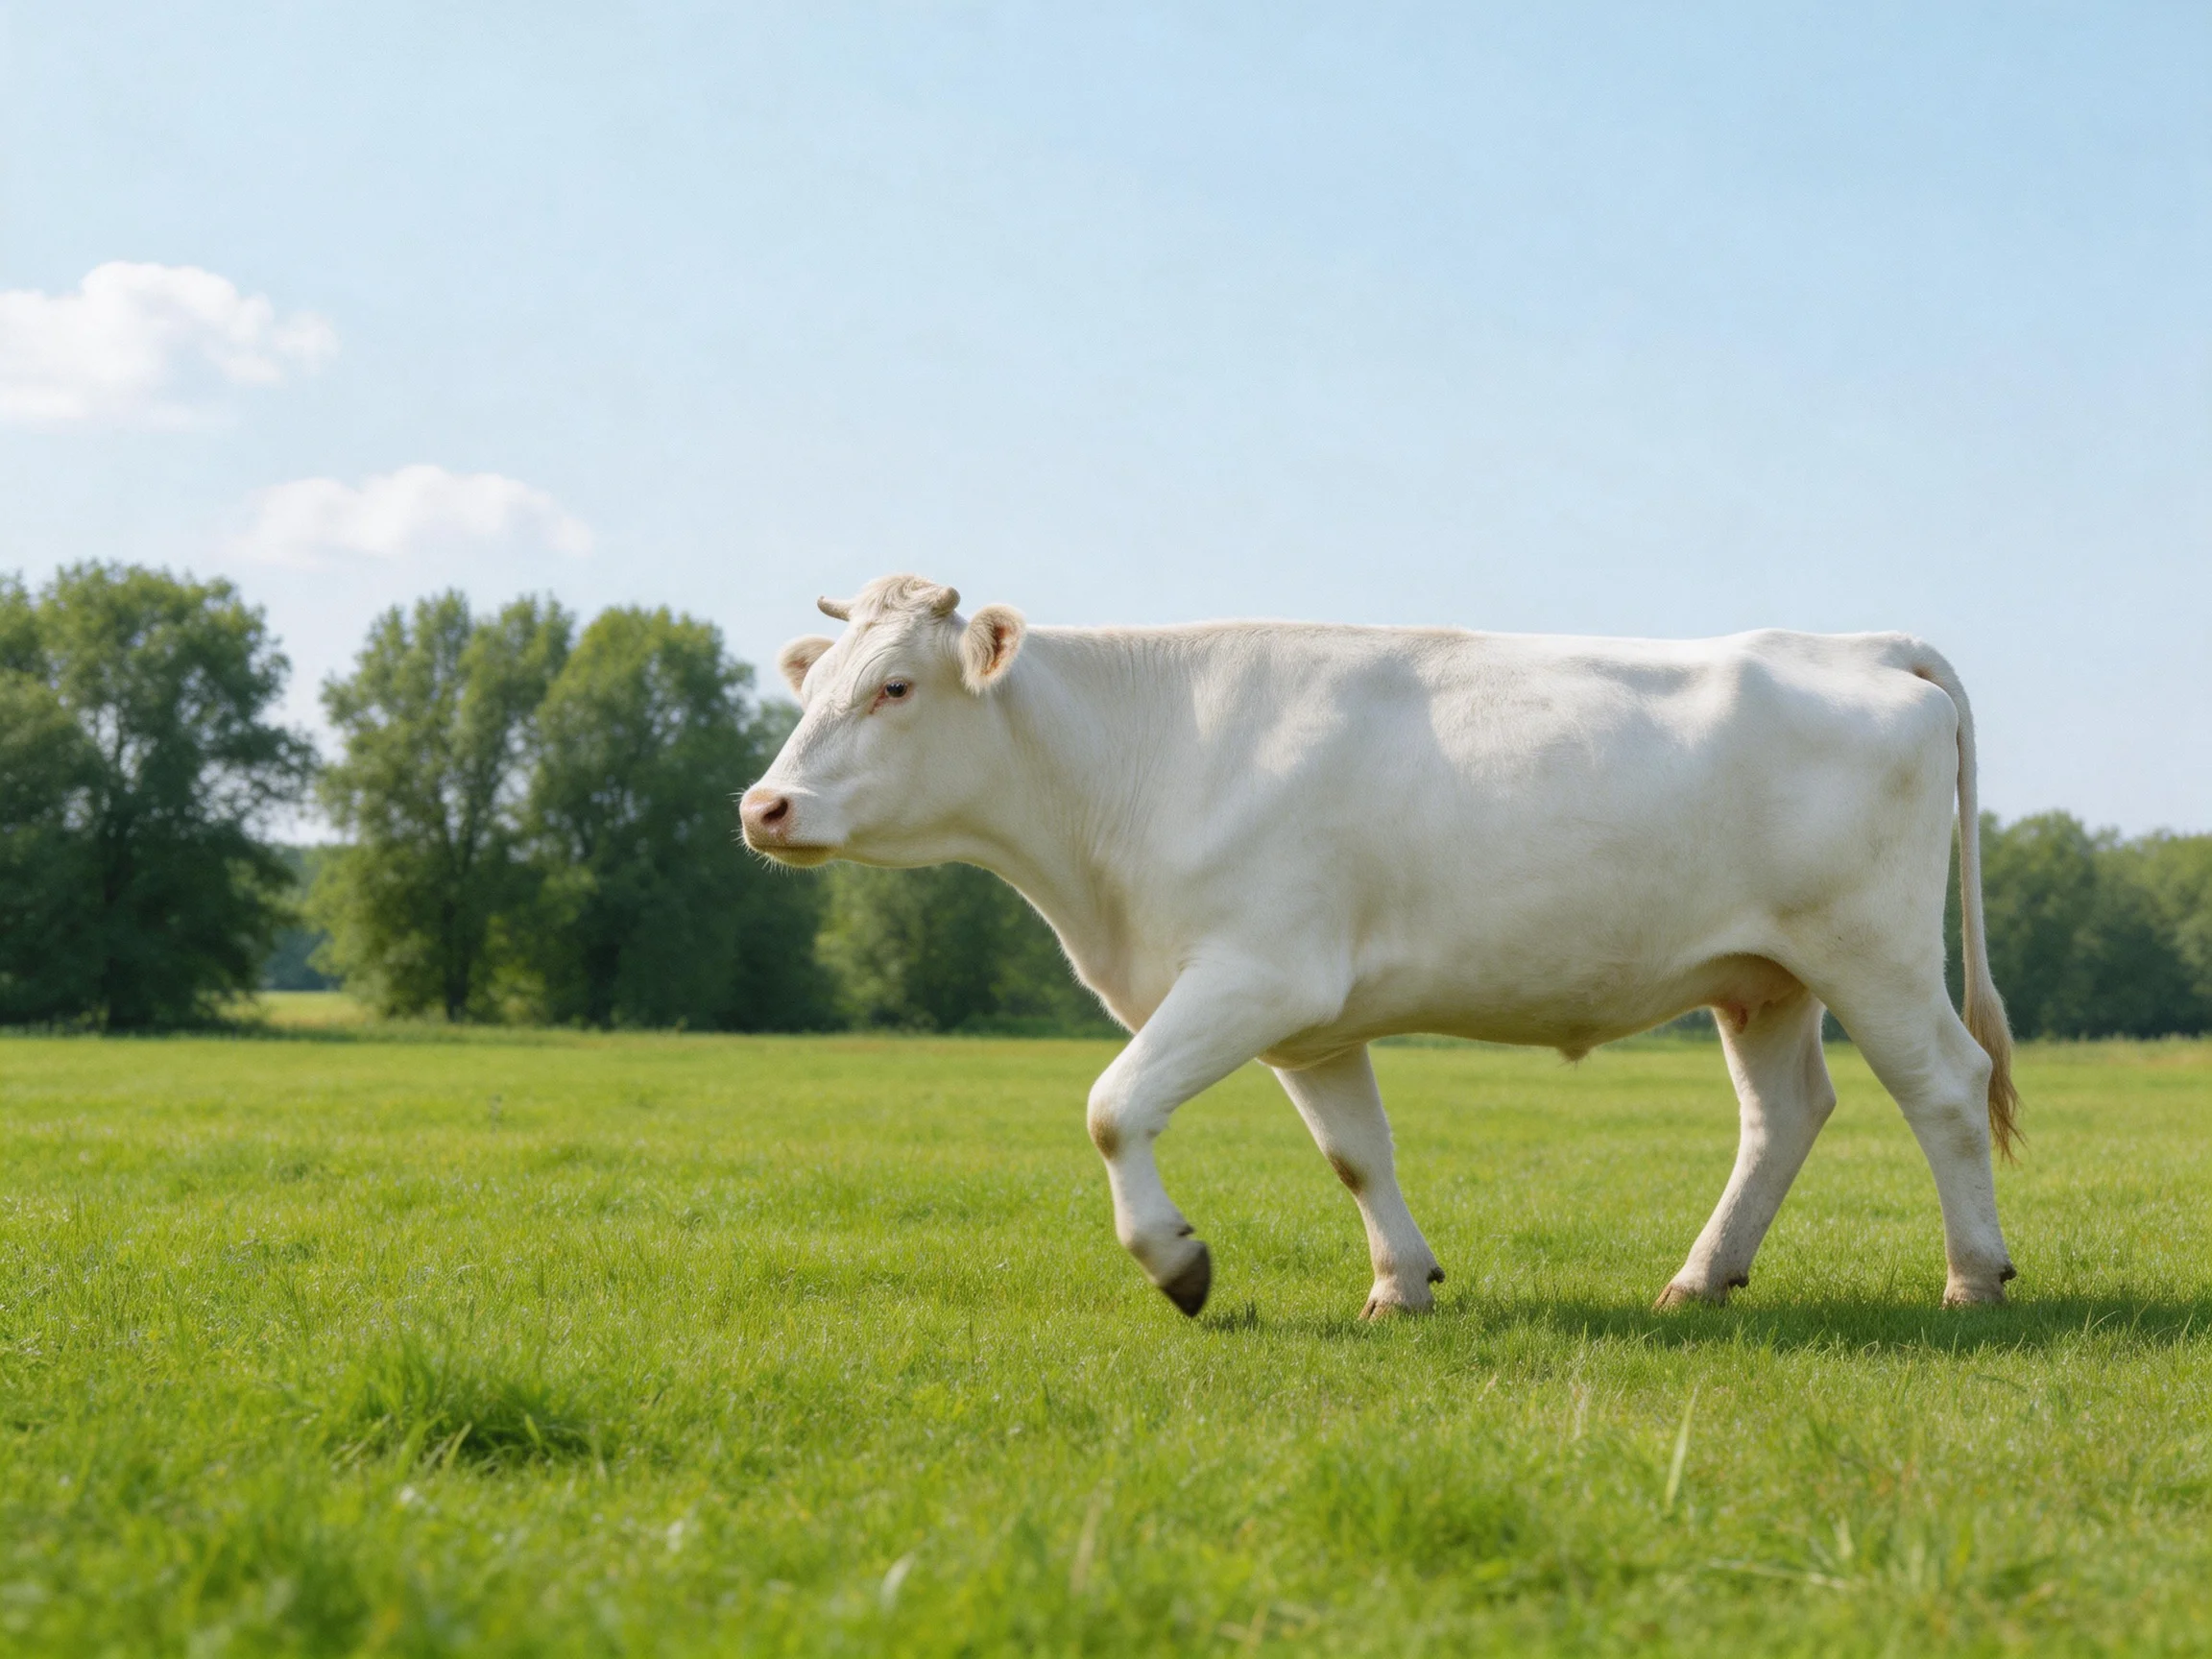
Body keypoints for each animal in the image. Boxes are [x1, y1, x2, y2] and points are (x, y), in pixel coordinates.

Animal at [741, 574, 2020, 1321]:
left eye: (895, 687)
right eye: (816, 688)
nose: (763, 807)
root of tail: (1858, 645)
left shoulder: (1255, 974)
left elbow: (1113, 1105)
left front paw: (1176, 1262)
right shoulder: (1312, 1023)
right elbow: (1357, 1154)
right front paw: (1401, 1284)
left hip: (1874, 952)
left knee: (1946, 1089)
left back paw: (1972, 1279)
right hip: (1765, 979)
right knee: (1785, 1112)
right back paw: (1702, 1278)